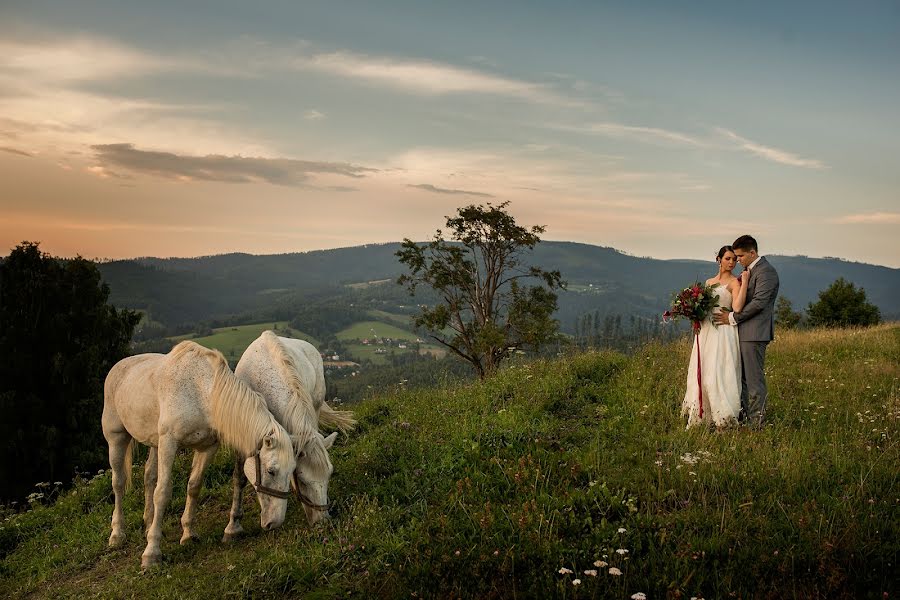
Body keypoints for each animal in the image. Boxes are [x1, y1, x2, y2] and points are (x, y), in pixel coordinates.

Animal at [101, 340, 298, 568]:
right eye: (271, 471)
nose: (275, 522)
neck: (201, 392)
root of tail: (118, 367)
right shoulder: (169, 443)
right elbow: (163, 492)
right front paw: (152, 553)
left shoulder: (206, 447)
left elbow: (194, 486)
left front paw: (187, 534)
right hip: (117, 438)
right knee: (118, 483)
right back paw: (117, 534)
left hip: (154, 443)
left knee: (149, 476)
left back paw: (149, 524)